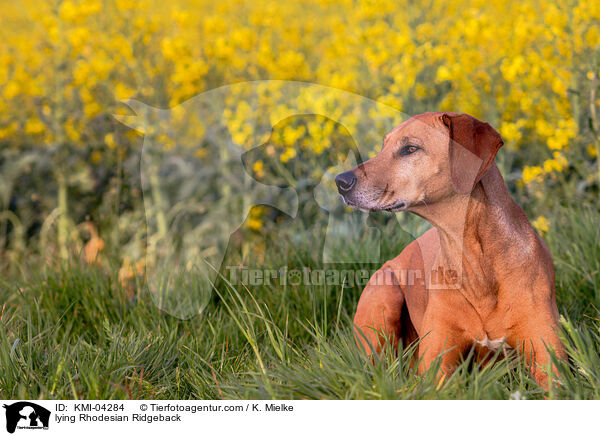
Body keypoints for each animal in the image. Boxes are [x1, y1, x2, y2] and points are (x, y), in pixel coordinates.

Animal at [336, 111, 564, 384]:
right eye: (383, 147)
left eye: (410, 149)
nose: (340, 181)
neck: (473, 258)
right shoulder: (436, 365)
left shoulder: (548, 357)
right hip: (384, 291)